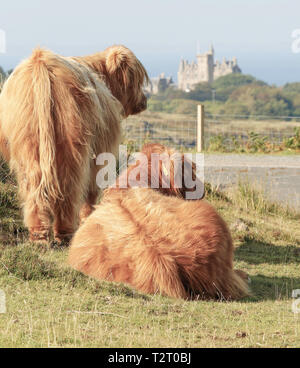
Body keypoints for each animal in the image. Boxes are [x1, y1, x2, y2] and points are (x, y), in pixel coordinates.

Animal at [0, 44, 149, 243]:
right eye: (138, 80)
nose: (144, 101)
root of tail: (41, 63)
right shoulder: (100, 151)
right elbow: (92, 188)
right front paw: (88, 218)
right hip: (70, 142)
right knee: (68, 187)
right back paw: (65, 233)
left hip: (27, 143)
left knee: (34, 187)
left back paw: (38, 235)